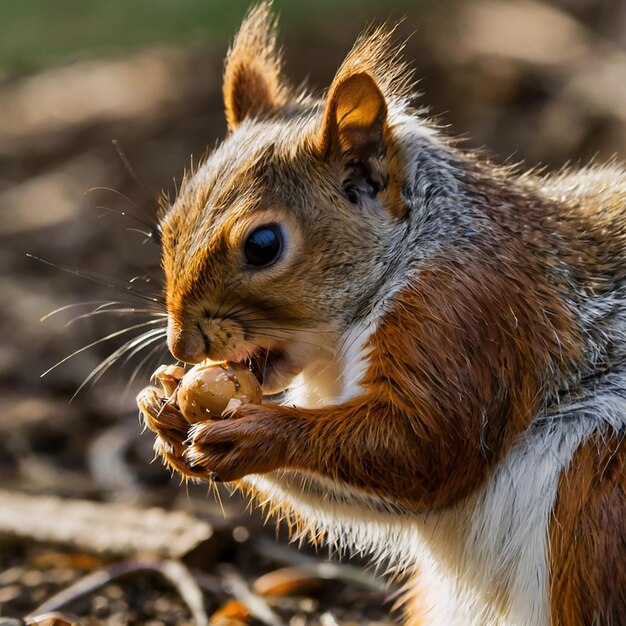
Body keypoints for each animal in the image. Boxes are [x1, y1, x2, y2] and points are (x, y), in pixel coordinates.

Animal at [138, 3, 624, 620]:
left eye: (263, 245)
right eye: (168, 225)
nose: (181, 346)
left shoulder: (466, 310)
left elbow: (424, 446)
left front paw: (255, 433)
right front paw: (163, 409)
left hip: (596, 487)